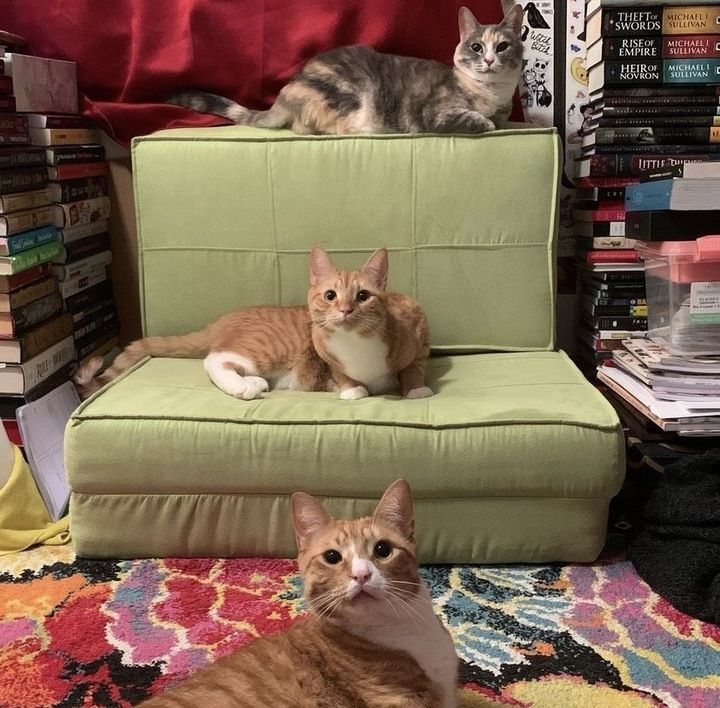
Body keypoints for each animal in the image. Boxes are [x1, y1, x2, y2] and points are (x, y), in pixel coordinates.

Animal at [75, 248, 430, 404]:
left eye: (363, 296)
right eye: (331, 296)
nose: (345, 310)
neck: (357, 344)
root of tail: (223, 319)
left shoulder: (419, 330)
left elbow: (413, 367)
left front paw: (415, 388)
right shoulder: (325, 358)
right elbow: (346, 380)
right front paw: (353, 389)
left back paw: (254, 383)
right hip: (267, 348)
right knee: (215, 359)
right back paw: (244, 387)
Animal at [169, 5, 524, 136]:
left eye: (502, 47)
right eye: (476, 47)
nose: (489, 60)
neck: (491, 93)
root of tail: (289, 89)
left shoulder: (503, 110)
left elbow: (500, 119)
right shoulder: (435, 112)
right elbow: (476, 120)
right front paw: (483, 121)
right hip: (351, 96)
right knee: (306, 128)